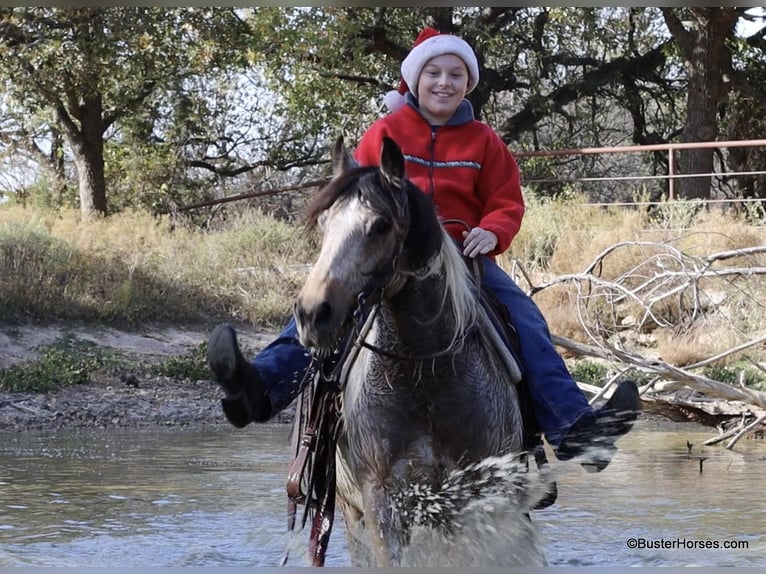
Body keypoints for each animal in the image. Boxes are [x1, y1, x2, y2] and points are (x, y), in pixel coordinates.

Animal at [292, 137, 544, 568]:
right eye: (324, 224)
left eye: (380, 225)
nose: (312, 313)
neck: (425, 372)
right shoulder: (382, 500)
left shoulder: (477, 498)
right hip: (351, 514)